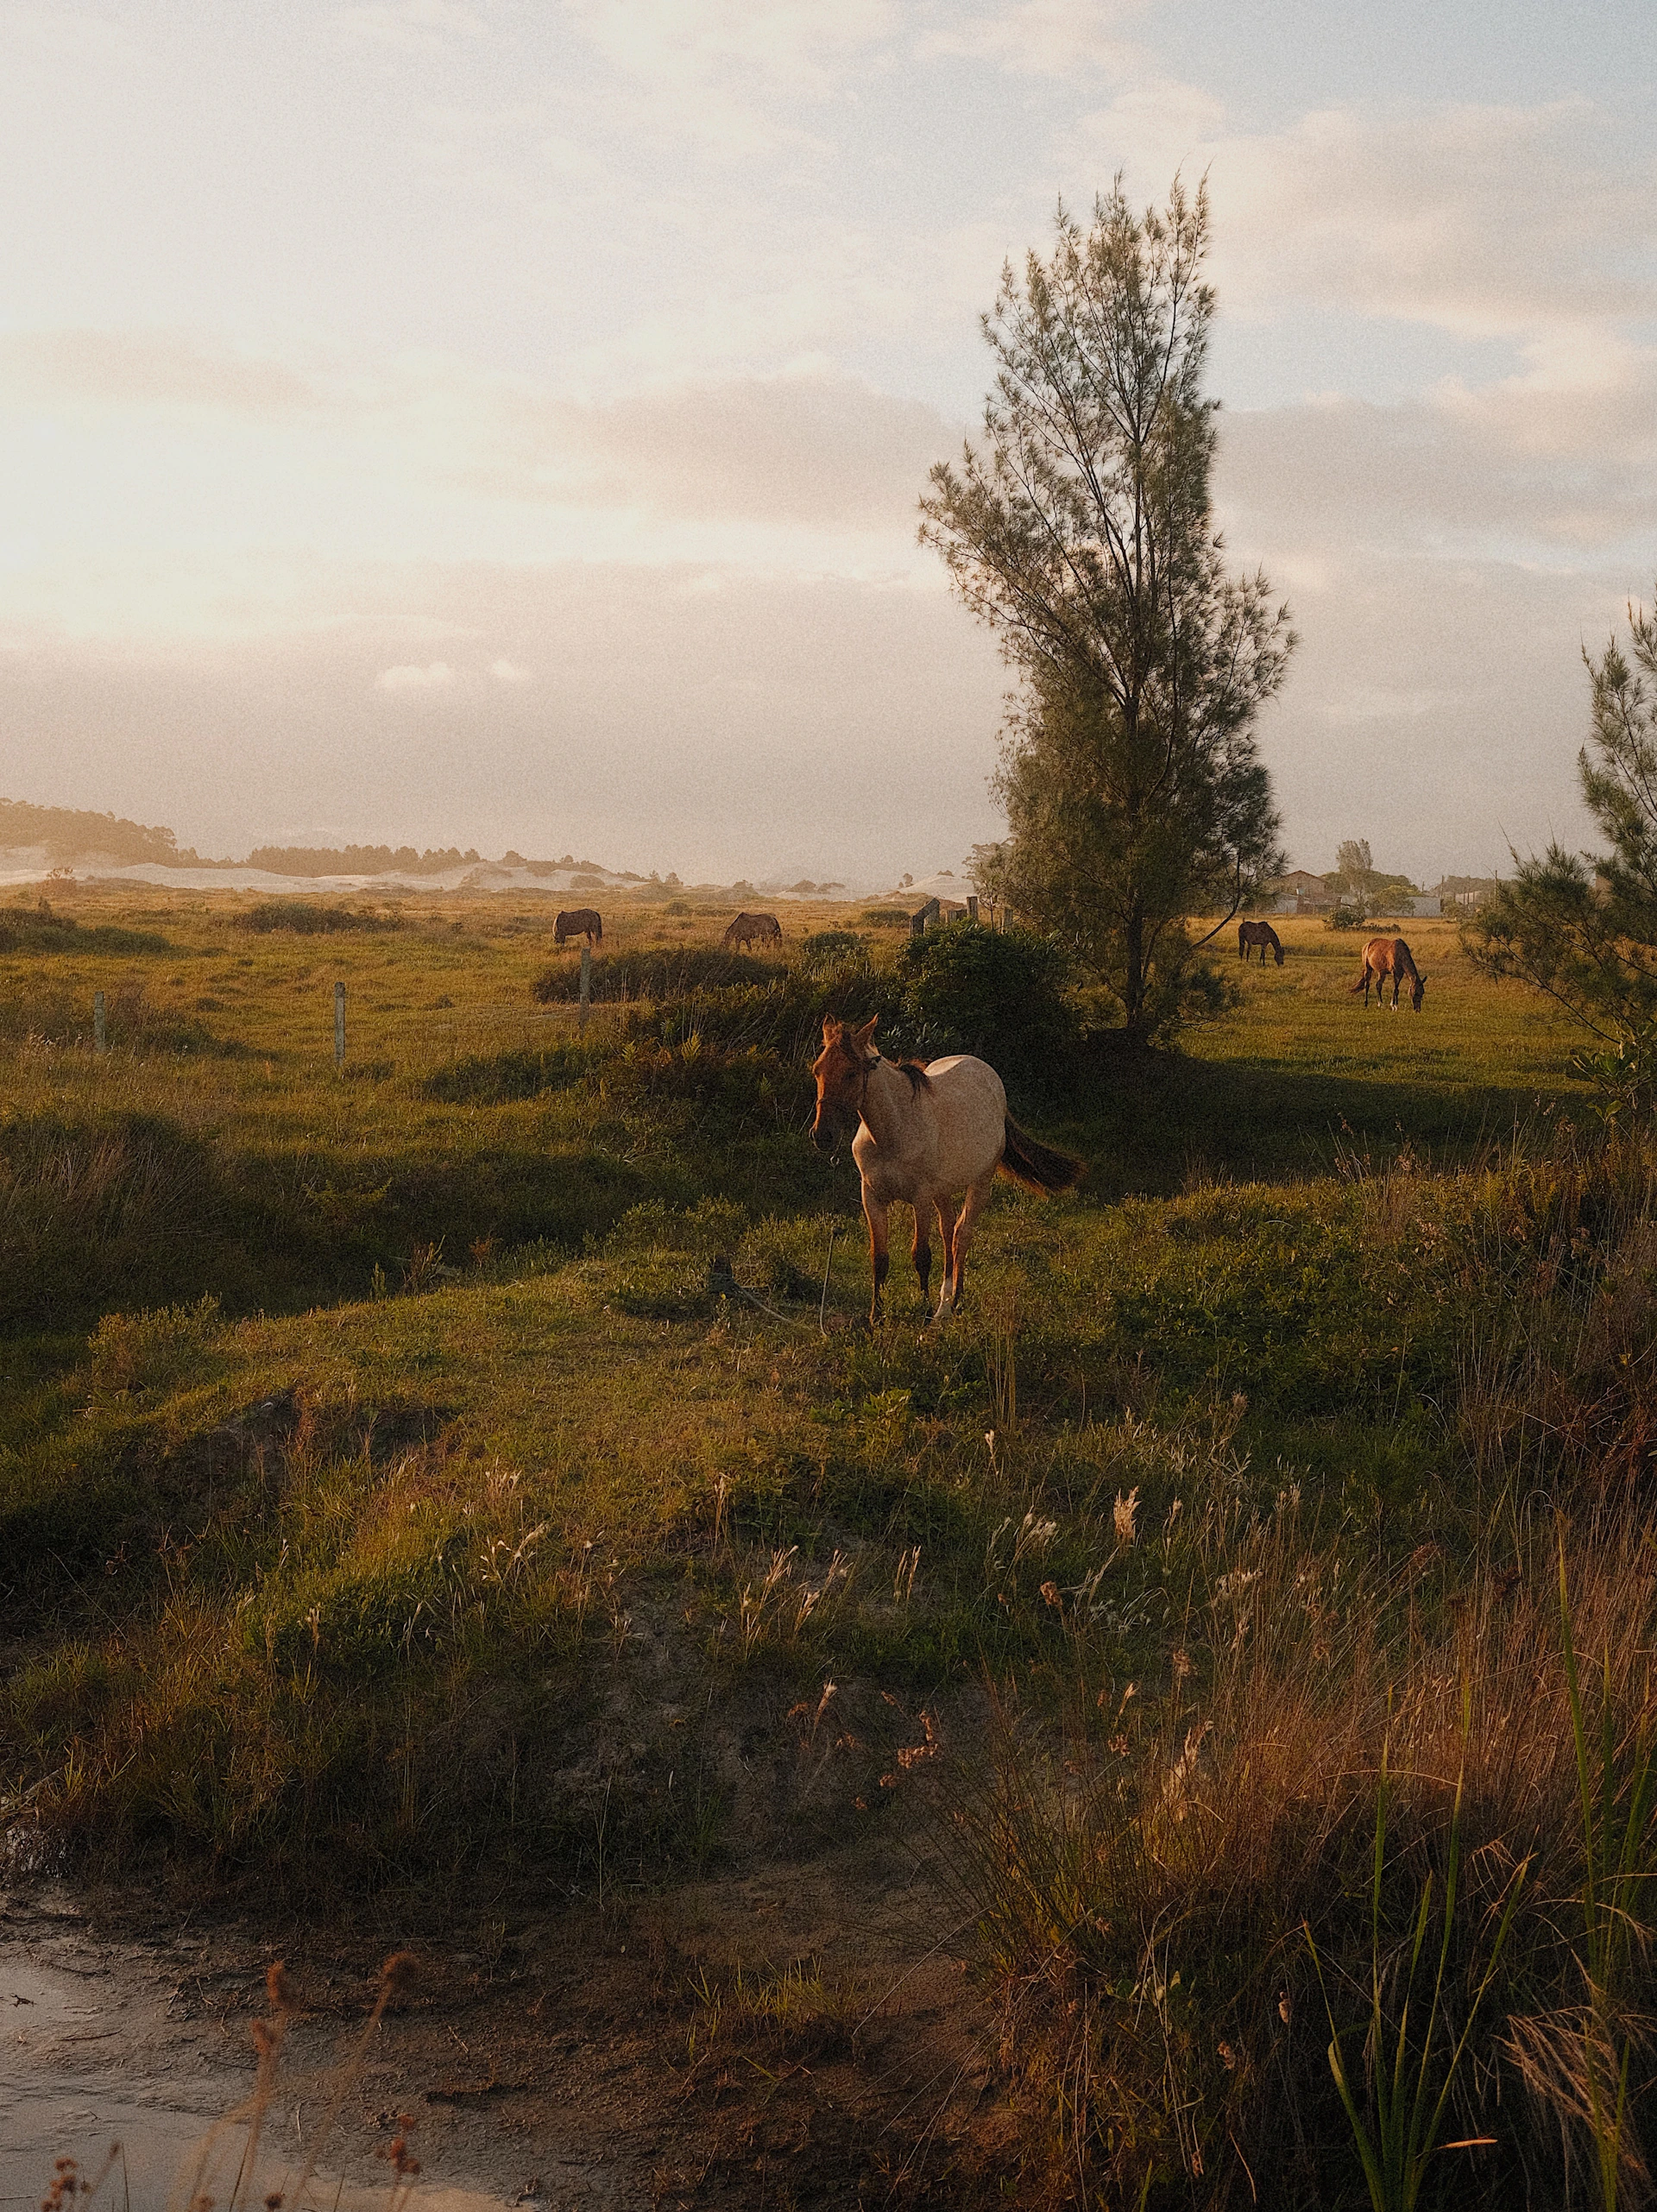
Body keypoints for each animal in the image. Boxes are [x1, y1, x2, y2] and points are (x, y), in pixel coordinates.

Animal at [811, 1016, 1084, 1325]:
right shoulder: (872, 1197)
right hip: (942, 1192)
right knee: (949, 1231)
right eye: (817, 1070)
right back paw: (946, 1300)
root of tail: (988, 1074)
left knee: (962, 1234)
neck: (894, 1130)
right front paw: (875, 1317)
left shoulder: (920, 1199)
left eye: (851, 1073)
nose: (822, 1135)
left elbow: (921, 1256)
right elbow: (879, 1258)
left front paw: (924, 1310)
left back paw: (953, 1301)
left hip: (980, 1184)